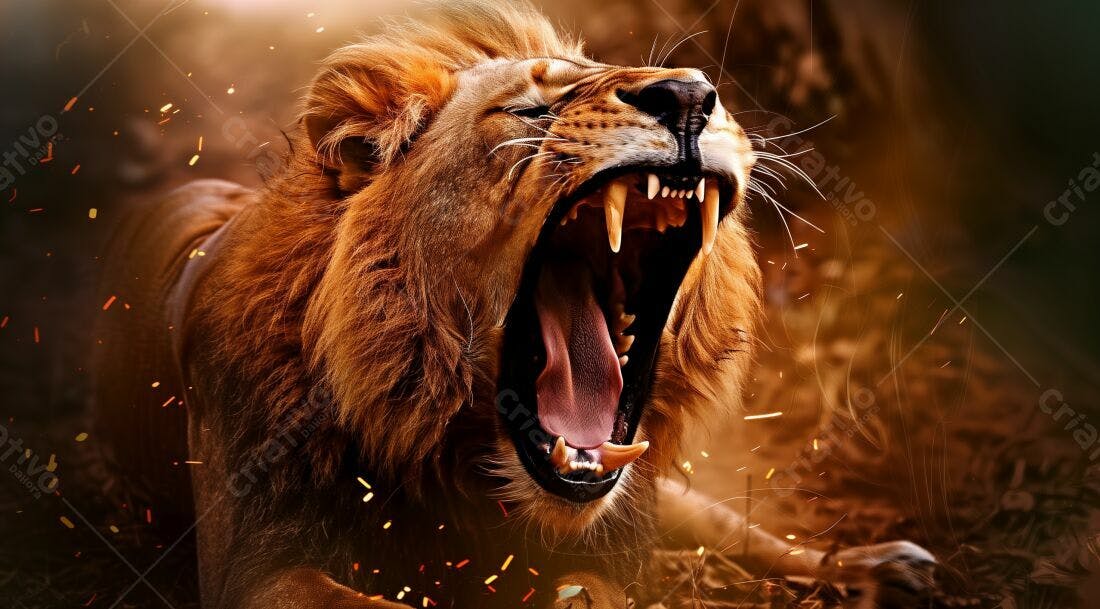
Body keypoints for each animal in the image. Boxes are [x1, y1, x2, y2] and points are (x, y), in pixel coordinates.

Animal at [91, 2, 935, 607]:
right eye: (530, 113)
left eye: (702, 94)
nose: (692, 95)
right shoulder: (261, 569)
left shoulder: (607, 541)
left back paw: (881, 565)